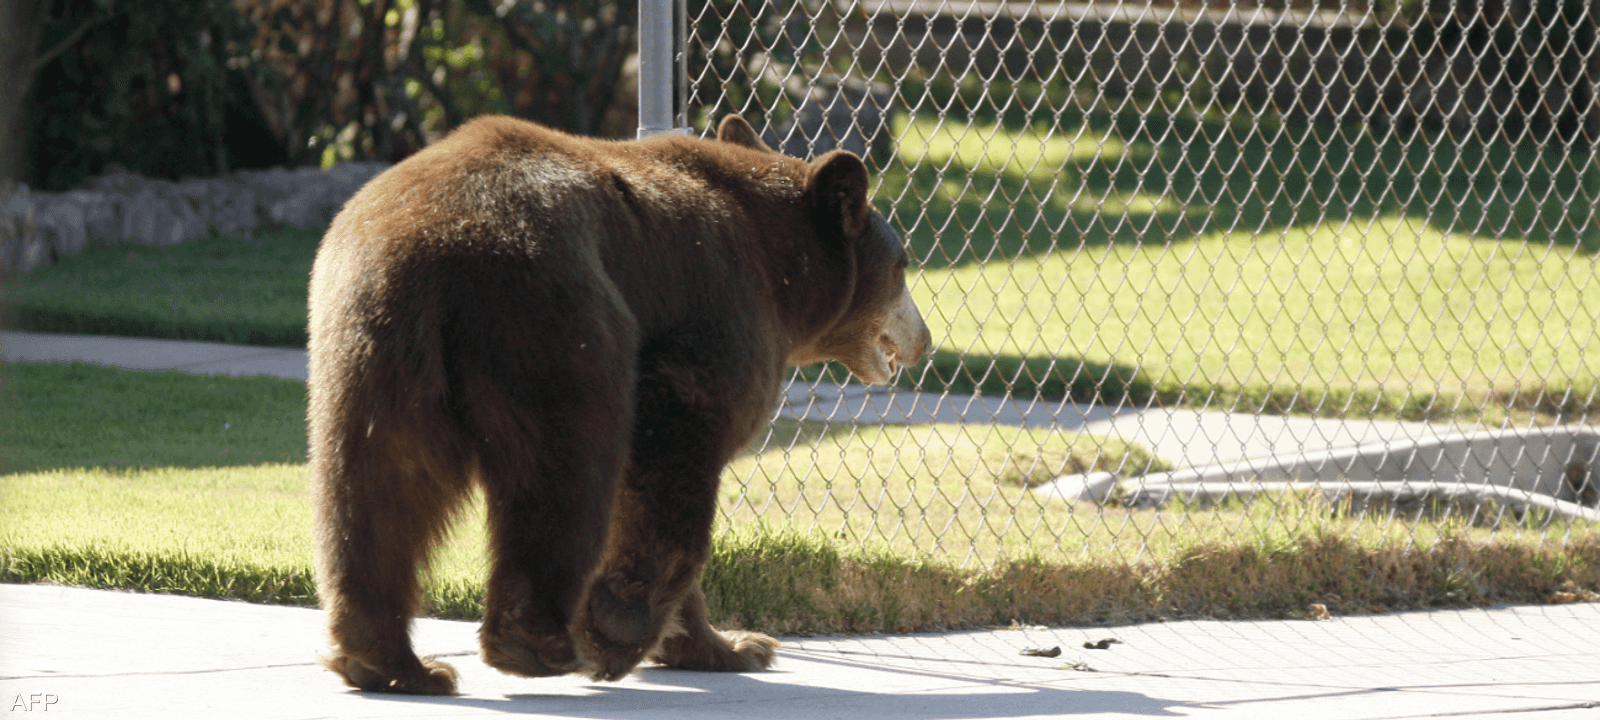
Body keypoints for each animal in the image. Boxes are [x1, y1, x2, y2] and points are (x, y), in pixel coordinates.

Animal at [305, 115, 934, 694]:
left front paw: (733, 645)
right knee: (566, 468)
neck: (783, 271)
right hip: (554, 320)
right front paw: (623, 626)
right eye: (903, 264)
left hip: (370, 348)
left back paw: (391, 662)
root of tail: (433, 243)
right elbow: (675, 454)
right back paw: (538, 644)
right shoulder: (719, 313)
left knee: (380, 488)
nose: (924, 339)